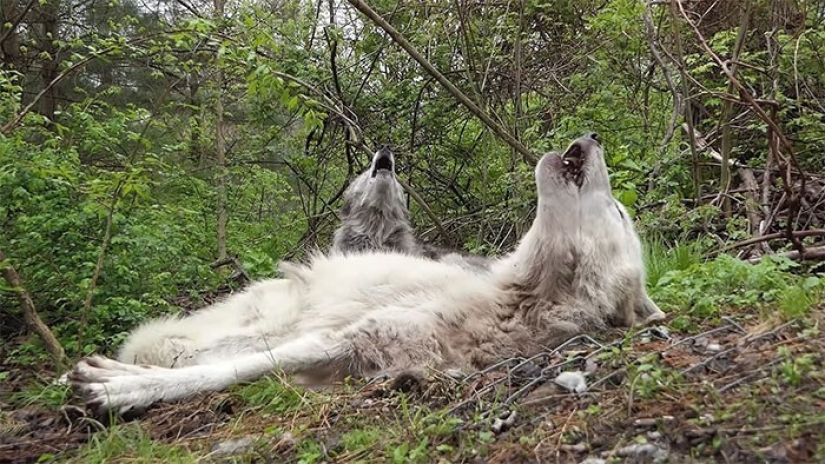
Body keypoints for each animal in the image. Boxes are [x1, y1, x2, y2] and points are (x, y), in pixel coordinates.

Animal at [70, 133, 656, 414]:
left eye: (620, 213)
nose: (594, 134)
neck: (510, 302)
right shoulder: (337, 336)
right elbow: (224, 370)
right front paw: (120, 385)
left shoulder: (355, 349)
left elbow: (232, 372)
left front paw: (119, 388)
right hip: (266, 317)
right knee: (196, 347)